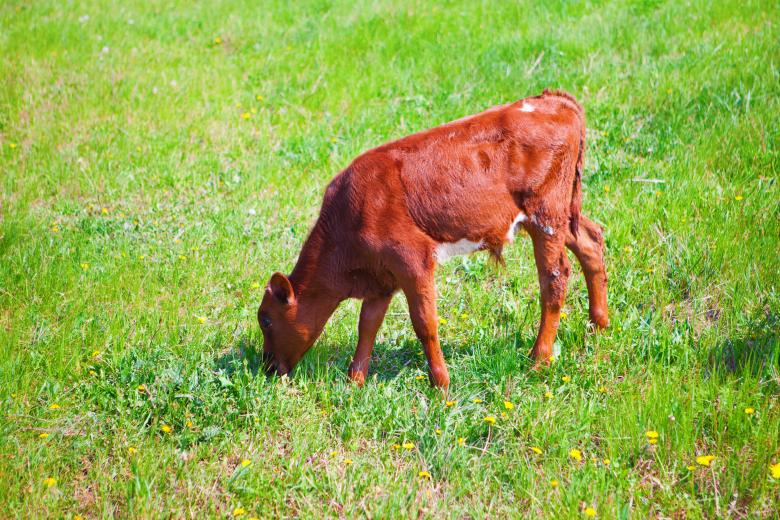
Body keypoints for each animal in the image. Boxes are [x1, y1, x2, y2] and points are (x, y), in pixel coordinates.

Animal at [257, 89, 608, 390]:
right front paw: (354, 381)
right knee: (591, 241)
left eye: (266, 320)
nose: (267, 368)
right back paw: (598, 324)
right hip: (561, 216)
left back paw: (539, 359)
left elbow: (425, 324)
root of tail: (552, 99)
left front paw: (441, 385)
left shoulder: (413, 260)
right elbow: (368, 324)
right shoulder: (381, 276)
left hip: (545, 215)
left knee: (554, 278)